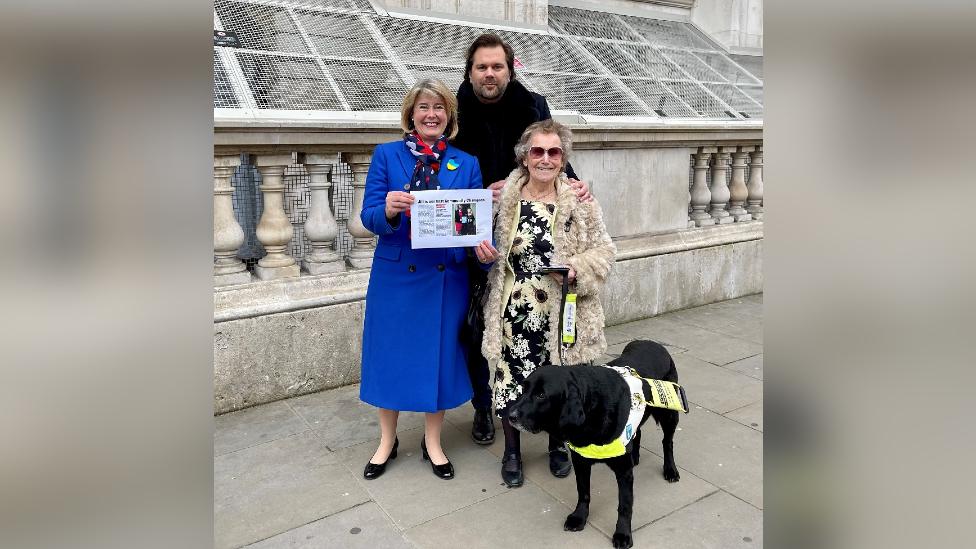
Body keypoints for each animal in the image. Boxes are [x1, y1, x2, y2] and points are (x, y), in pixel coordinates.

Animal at [508, 340, 684, 544]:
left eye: (541, 395)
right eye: (523, 389)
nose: (510, 416)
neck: (591, 407)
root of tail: (653, 342)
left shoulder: (623, 472)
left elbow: (624, 505)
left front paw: (623, 533)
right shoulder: (580, 462)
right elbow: (583, 493)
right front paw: (579, 517)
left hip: (670, 414)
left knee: (667, 442)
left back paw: (670, 470)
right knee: (638, 432)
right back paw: (636, 456)